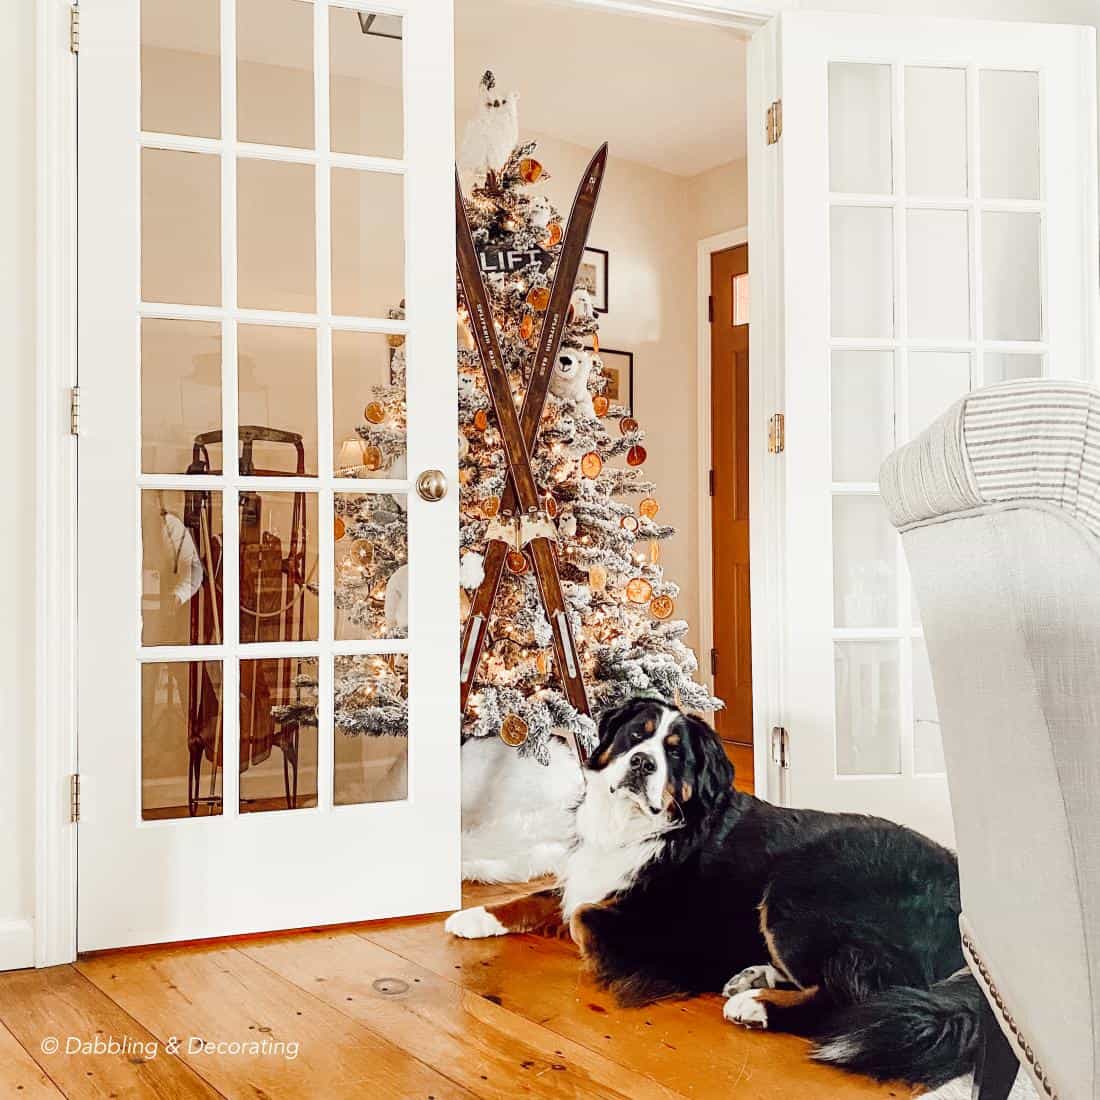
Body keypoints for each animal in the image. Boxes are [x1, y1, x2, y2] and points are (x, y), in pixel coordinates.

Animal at [446, 699, 990, 1086]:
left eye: (674, 752)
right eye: (634, 736)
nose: (641, 764)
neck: (636, 828)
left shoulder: (653, 930)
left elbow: (579, 914)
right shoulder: (585, 873)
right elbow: (545, 895)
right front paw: (474, 916)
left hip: (795, 889)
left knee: (858, 992)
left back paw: (755, 1004)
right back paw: (754, 976)